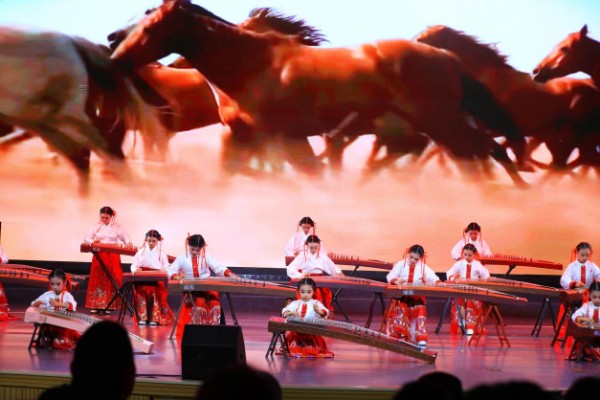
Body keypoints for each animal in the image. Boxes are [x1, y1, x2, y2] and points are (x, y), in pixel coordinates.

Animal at [111, 0, 527, 186]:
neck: (254, 65)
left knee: (485, 152)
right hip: (434, 128)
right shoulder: (274, 138)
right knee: (484, 152)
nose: (114, 44)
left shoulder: (266, 136)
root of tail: (448, 58)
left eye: (149, 23)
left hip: (441, 124)